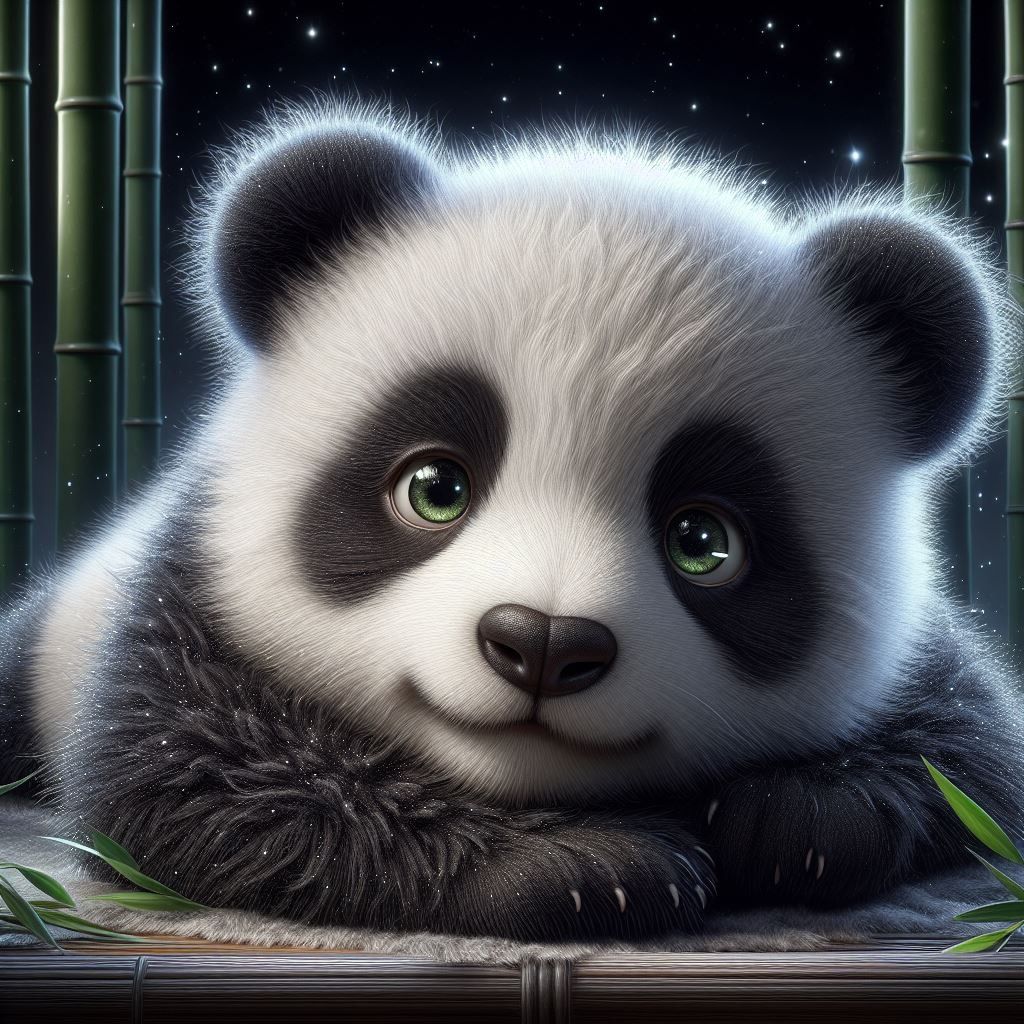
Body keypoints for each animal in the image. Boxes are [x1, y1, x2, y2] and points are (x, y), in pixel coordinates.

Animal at [1, 101, 1023, 944]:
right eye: (434, 488)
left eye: (703, 542)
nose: (542, 642)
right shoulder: (187, 597)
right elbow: (204, 777)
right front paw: (589, 866)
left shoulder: (930, 660)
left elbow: (967, 758)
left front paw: (790, 818)